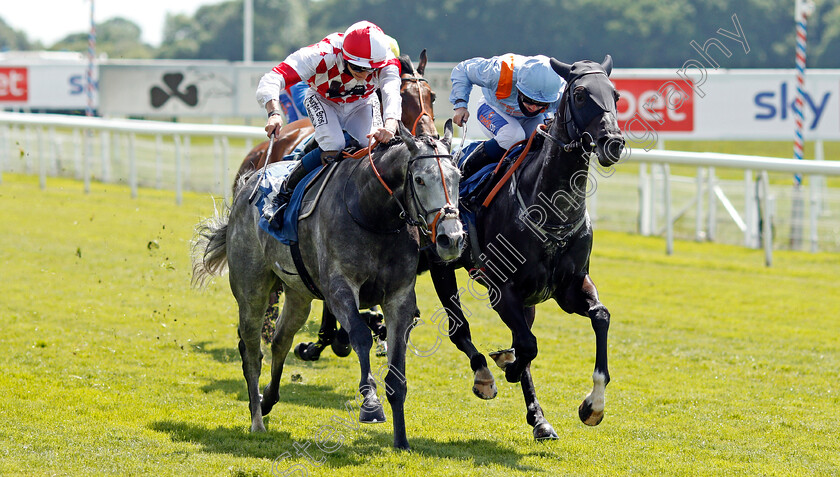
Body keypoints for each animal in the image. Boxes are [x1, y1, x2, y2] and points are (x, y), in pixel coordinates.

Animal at [193, 121, 462, 448]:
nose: (452, 238)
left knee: (281, 341)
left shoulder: (400, 298)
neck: (372, 213)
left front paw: (401, 440)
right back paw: (257, 419)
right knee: (251, 351)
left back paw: (268, 399)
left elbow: (396, 370)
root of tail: (250, 181)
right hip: (251, 290)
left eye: (458, 177)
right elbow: (360, 335)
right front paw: (370, 403)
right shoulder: (339, 289)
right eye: (420, 179)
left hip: (299, 295)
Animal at [430, 55, 628, 438]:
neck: (552, 211)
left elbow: (601, 316)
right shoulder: (501, 288)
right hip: (441, 265)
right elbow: (527, 346)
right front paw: (505, 366)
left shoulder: (569, 287)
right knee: (458, 328)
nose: (612, 142)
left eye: (615, 94)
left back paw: (539, 418)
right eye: (580, 94)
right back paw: (485, 376)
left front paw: (593, 405)